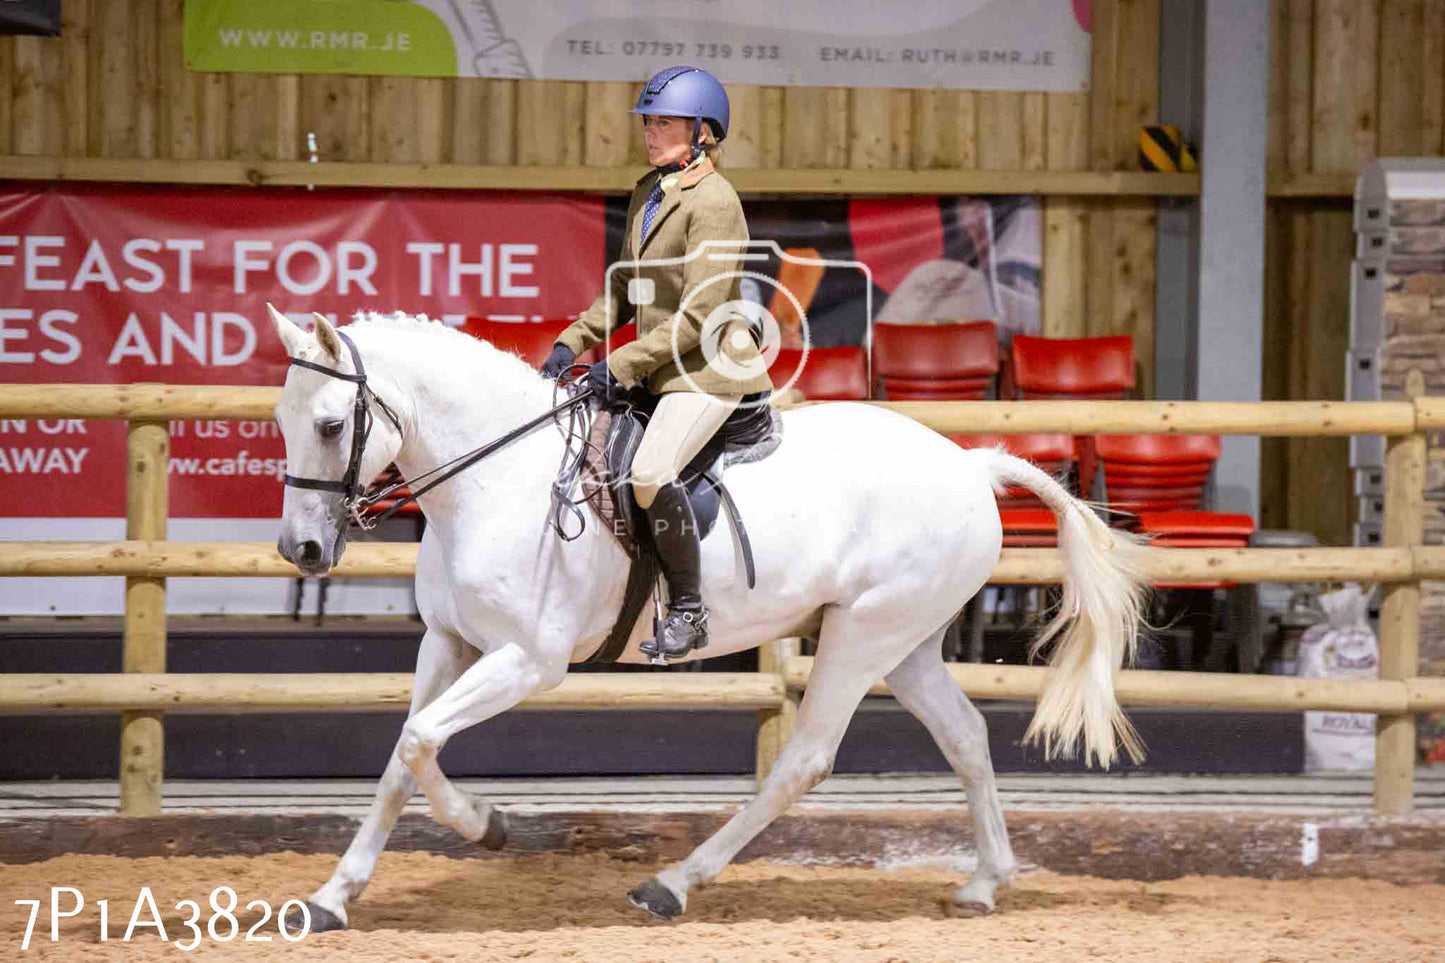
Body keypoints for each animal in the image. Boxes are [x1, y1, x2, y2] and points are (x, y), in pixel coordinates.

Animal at [268, 303, 1150, 925]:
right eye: (281, 421)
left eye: (331, 424)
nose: (300, 548)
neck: (498, 474)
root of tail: (971, 465)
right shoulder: (447, 644)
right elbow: (401, 755)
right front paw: (334, 895)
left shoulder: (527, 659)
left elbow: (421, 741)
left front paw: (487, 824)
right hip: (905, 642)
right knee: (964, 736)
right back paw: (983, 883)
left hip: (862, 635)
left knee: (803, 761)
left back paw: (672, 883)